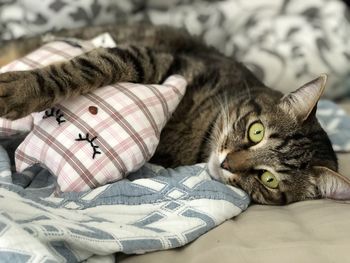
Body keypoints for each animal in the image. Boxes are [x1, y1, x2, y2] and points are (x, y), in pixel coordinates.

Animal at [0, 22, 350, 205]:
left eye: (269, 179)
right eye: (256, 131)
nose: (227, 163)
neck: (205, 130)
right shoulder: (159, 60)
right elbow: (91, 67)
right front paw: (18, 90)